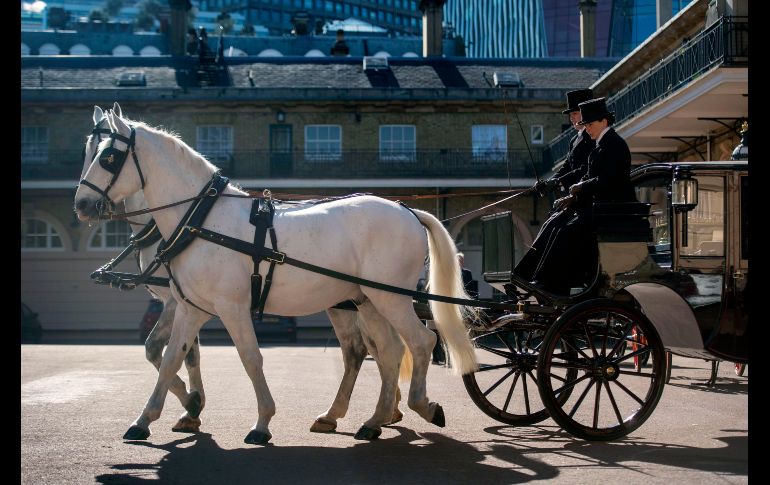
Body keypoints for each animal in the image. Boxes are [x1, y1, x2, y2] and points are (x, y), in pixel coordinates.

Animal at [74, 110, 477, 444]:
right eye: (87, 150)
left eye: (108, 157)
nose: (82, 205)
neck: (202, 219)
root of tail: (406, 210)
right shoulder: (191, 307)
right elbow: (172, 357)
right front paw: (150, 417)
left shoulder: (230, 307)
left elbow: (250, 358)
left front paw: (261, 422)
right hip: (367, 300)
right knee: (388, 353)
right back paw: (374, 419)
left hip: (390, 297)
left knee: (421, 342)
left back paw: (421, 405)